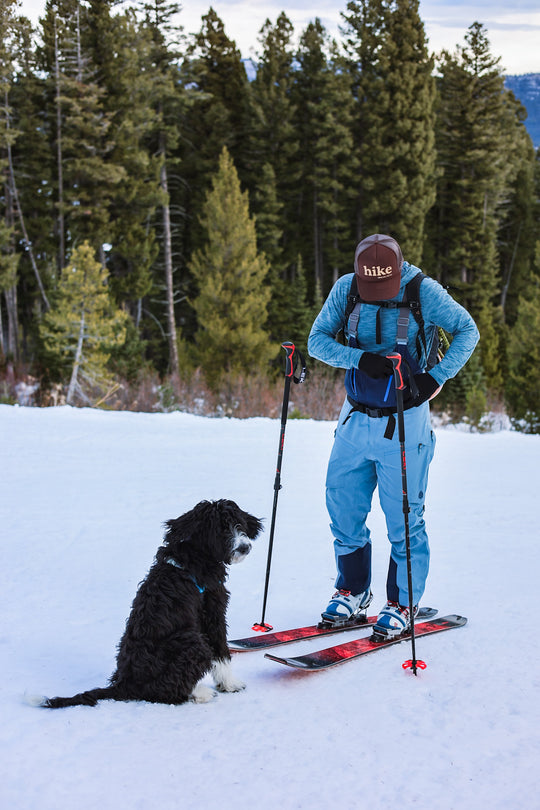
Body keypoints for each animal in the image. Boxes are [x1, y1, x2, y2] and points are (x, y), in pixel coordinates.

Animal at [34, 498, 262, 708]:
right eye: (220, 530)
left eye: (239, 524)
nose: (244, 547)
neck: (196, 555)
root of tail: (124, 684)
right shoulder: (213, 610)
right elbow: (221, 651)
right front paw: (231, 684)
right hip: (193, 642)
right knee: (167, 692)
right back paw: (200, 694)